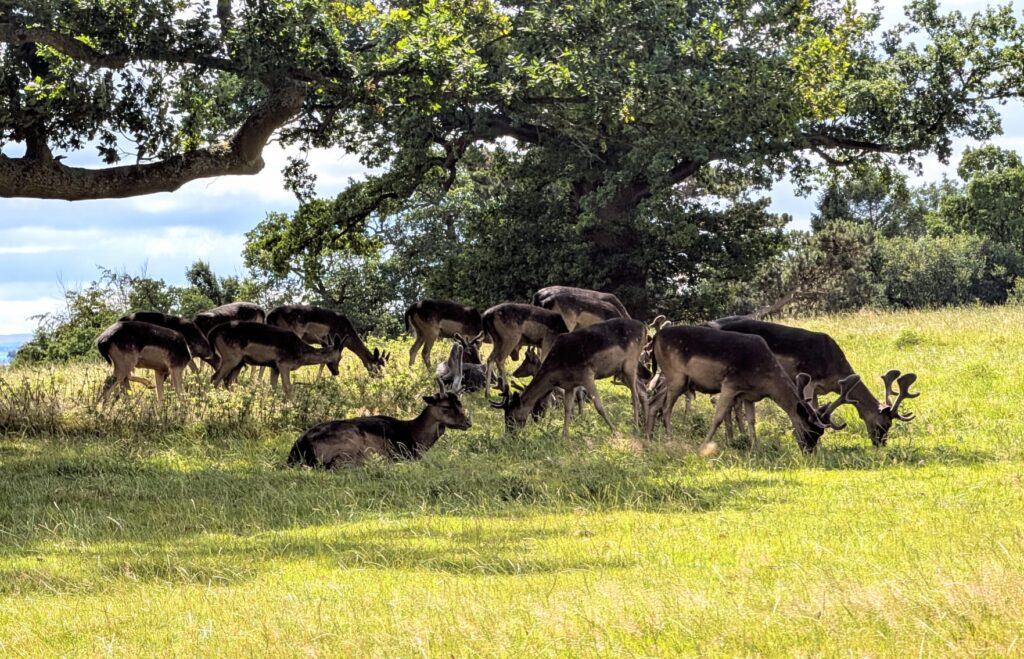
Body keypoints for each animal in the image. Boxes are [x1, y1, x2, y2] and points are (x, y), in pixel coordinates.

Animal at [208, 321, 341, 395]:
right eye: (340, 357)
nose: (337, 372)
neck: (300, 353)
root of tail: (212, 333)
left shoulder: (274, 366)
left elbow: (273, 387)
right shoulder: (284, 363)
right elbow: (287, 388)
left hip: (239, 361)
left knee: (228, 381)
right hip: (231, 358)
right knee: (215, 378)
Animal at [287, 379, 472, 467]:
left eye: (460, 404)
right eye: (446, 406)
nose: (468, 422)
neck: (415, 437)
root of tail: (298, 451)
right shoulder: (404, 453)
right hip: (348, 443)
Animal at [489, 318, 647, 439]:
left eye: (511, 416)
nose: (509, 435)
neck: (557, 370)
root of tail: (644, 328)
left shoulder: (587, 375)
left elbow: (599, 406)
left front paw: (614, 431)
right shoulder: (570, 385)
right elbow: (568, 409)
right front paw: (565, 436)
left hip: (630, 363)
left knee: (635, 395)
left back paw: (636, 426)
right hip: (621, 370)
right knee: (640, 391)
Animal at [645, 325, 859, 453]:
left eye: (820, 432)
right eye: (808, 429)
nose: (809, 451)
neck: (765, 377)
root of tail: (655, 337)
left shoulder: (749, 395)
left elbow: (751, 420)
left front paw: (755, 448)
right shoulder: (730, 383)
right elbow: (718, 417)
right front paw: (704, 446)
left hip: (674, 379)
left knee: (654, 403)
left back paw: (649, 438)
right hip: (676, 376)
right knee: (666, 408)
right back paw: (670, 440)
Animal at [709, 317, 919, 446]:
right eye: (884, 424)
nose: (880, 444)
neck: (834, 368)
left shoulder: (818, 390)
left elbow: (818, 410)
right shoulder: (809, 380)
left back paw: (736, 439)